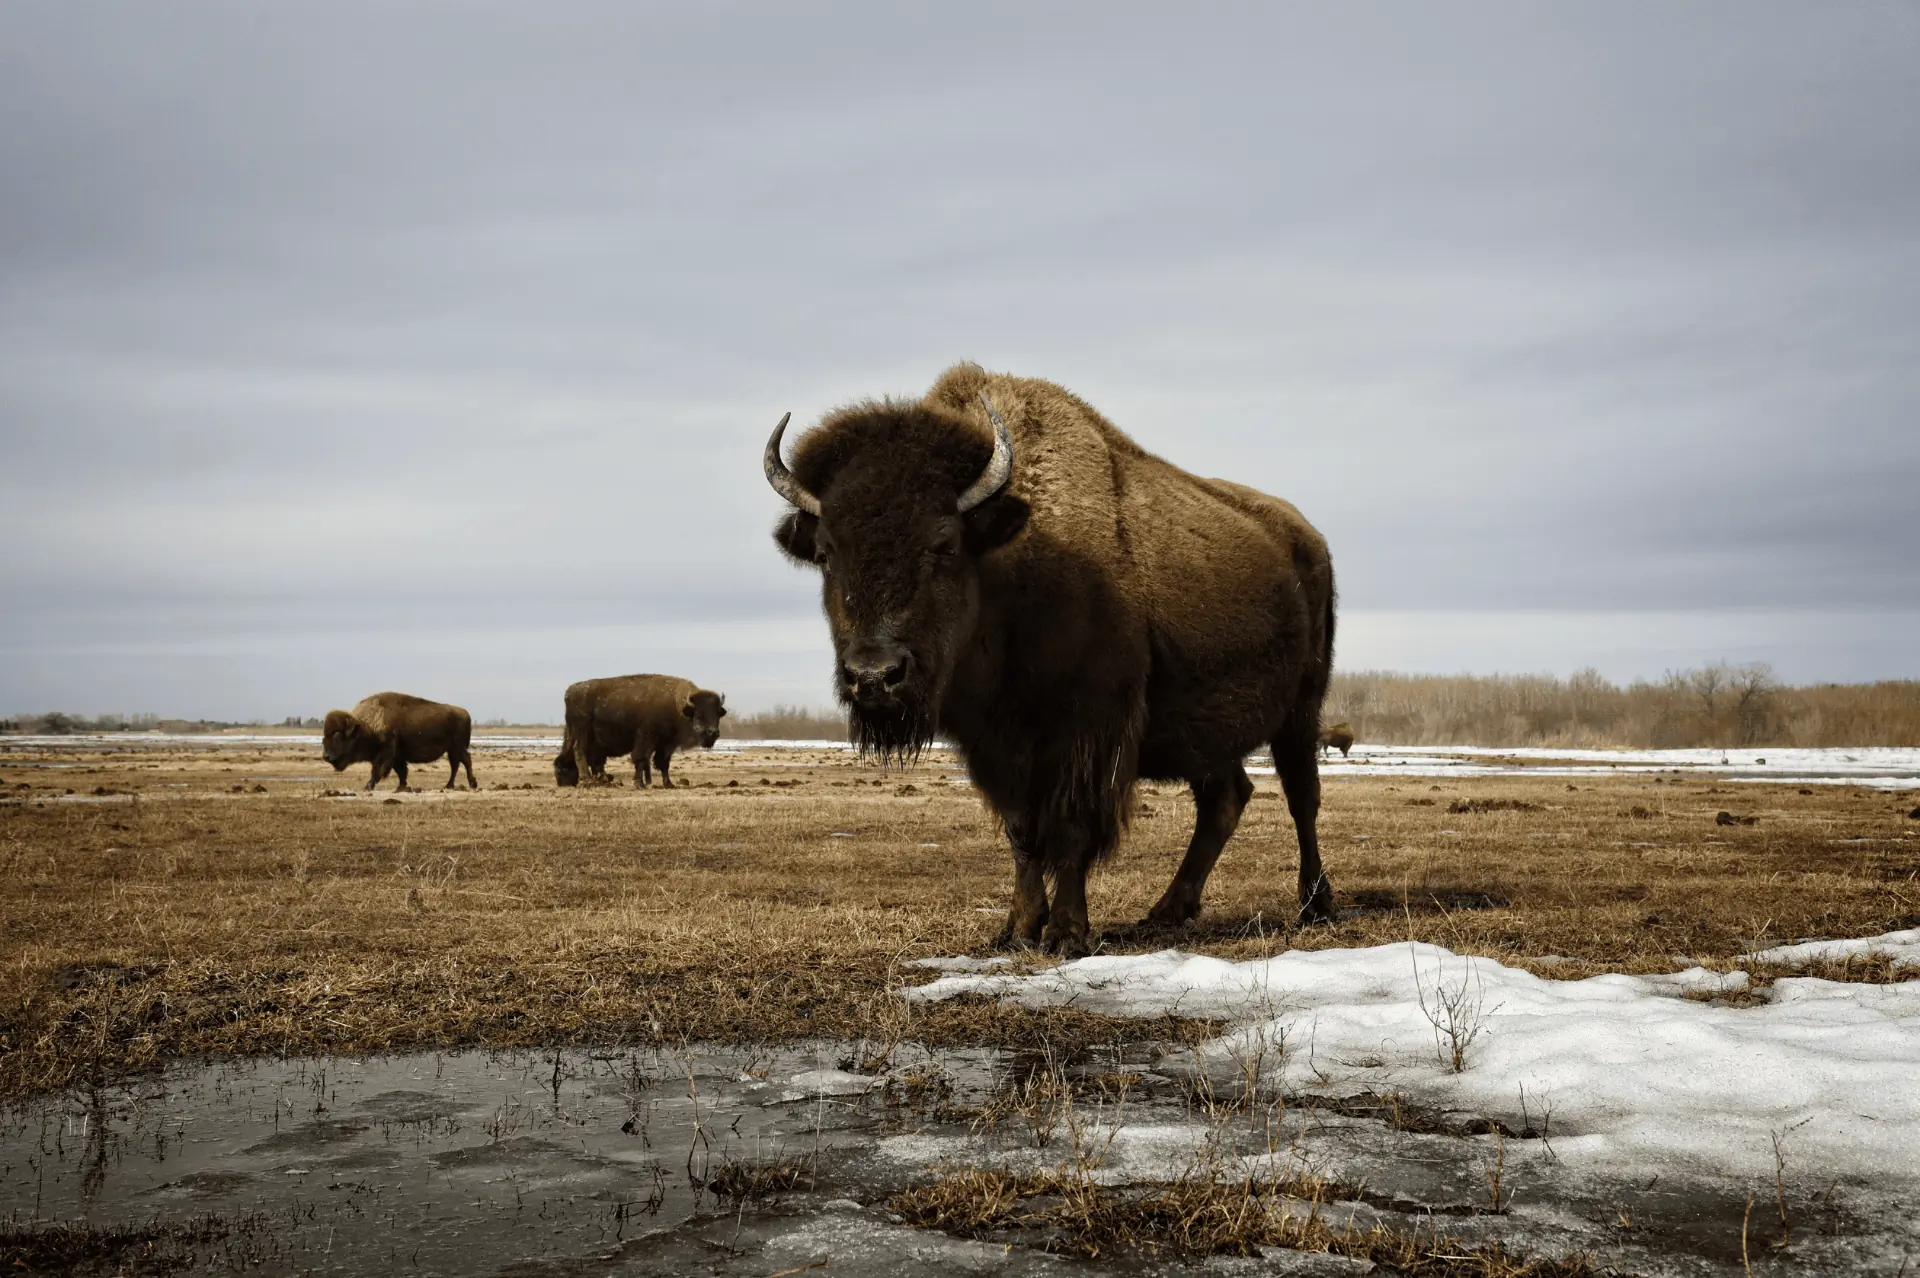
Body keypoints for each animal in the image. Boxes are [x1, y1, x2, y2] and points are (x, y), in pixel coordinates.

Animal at [321, 692, 476, 792]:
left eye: (337, 735)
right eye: (324, 737)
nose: (326, 757)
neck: (366, 725)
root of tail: (465, 713)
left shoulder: (386, 753)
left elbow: (376, 769)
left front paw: (367, 786)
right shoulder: (397, 757)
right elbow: (401, 771)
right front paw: (402, 786)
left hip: (457, 747)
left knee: (465, 761)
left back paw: (471, 784)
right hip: (452, 750)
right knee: (456, 765)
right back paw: (450, 785)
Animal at [553, 674, 726, 789]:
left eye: (718, 713)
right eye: (699, 713)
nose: (713, 732)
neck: (680, 707)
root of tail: (570, 692)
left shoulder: (666, 744)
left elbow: (663, 763)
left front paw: (668, 784)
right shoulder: (646, 738)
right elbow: (640, 759)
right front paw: (639, 784)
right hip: (582, 732)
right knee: (579, 751)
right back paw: (588, 780)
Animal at [766, 363, 1337, 956]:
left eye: (944, 544)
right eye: (826, 552)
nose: (874, 676)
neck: (1011, 566)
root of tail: (1309, 540)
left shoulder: (1085, 735)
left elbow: (1069, 830)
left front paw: (1065, 932)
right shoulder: (996, 747)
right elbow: (1023, 832)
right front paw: (1017, 928)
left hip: (1302, 710)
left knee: (1302, 797)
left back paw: (1315, 907)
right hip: (1208, 734)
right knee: (1225, 799)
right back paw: (1165, 911)